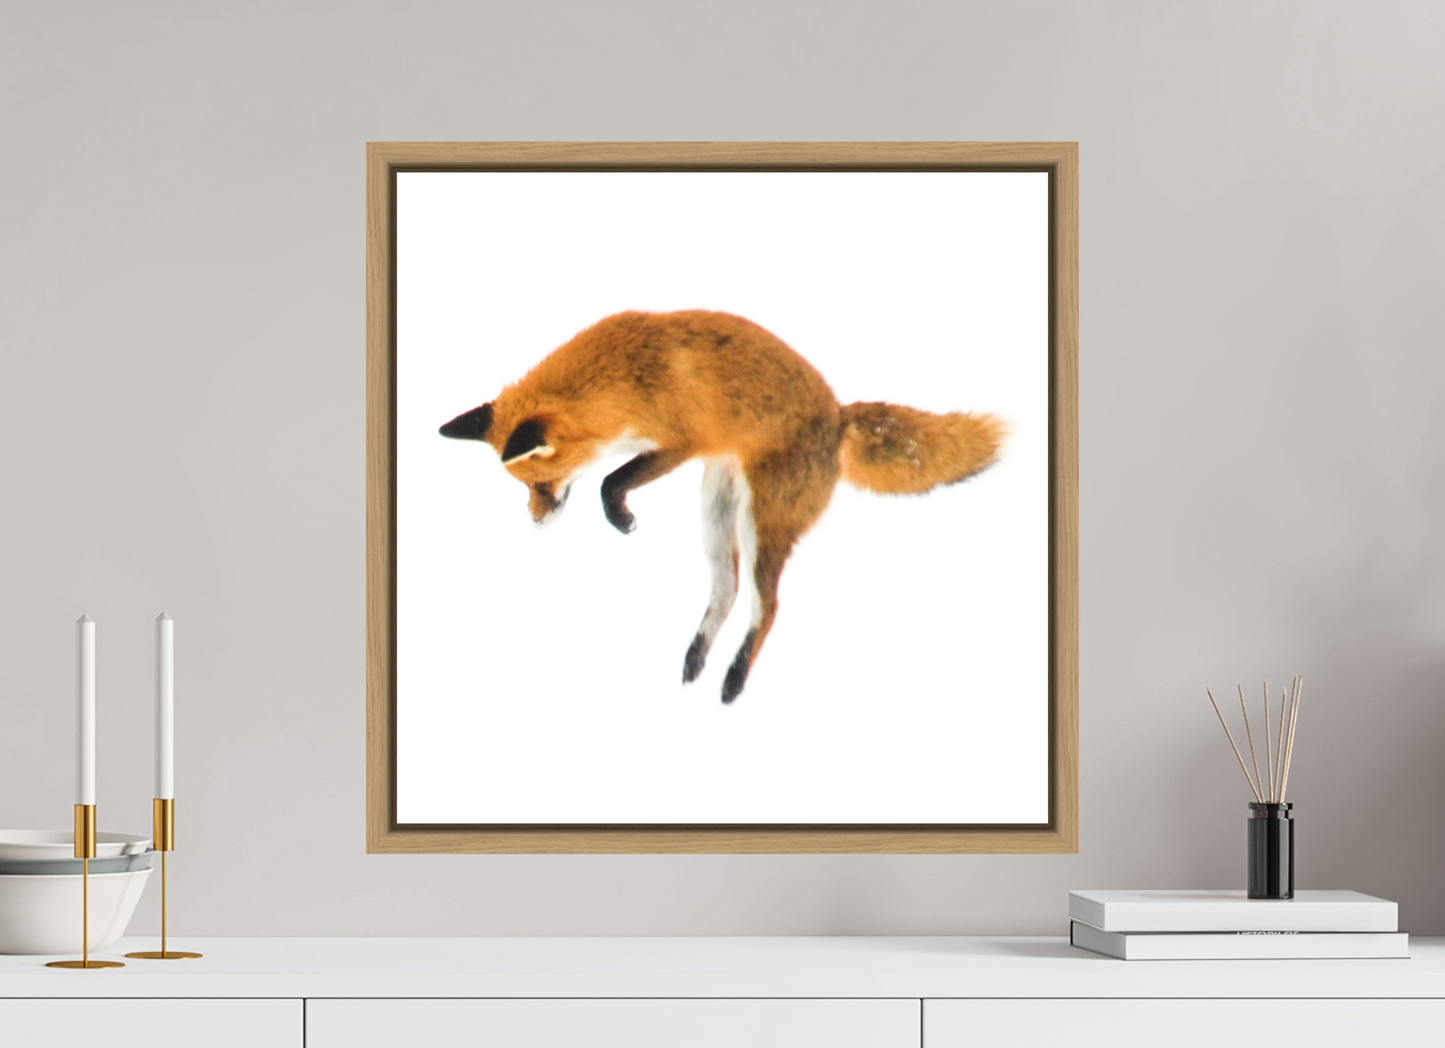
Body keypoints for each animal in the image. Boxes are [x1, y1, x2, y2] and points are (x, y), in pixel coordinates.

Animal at [440, 310, 1005, 704]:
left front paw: (621, 518)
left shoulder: (683, 441)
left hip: (762, 525)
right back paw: (697, 659)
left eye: (541, 482)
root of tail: (839, 417)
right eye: (525, 487)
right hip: (715, 517)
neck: (623, 378)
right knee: (728, 591)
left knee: (767, 606)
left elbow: (609, 480)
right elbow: (610, 478)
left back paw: (734, 679)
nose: (535, 523)